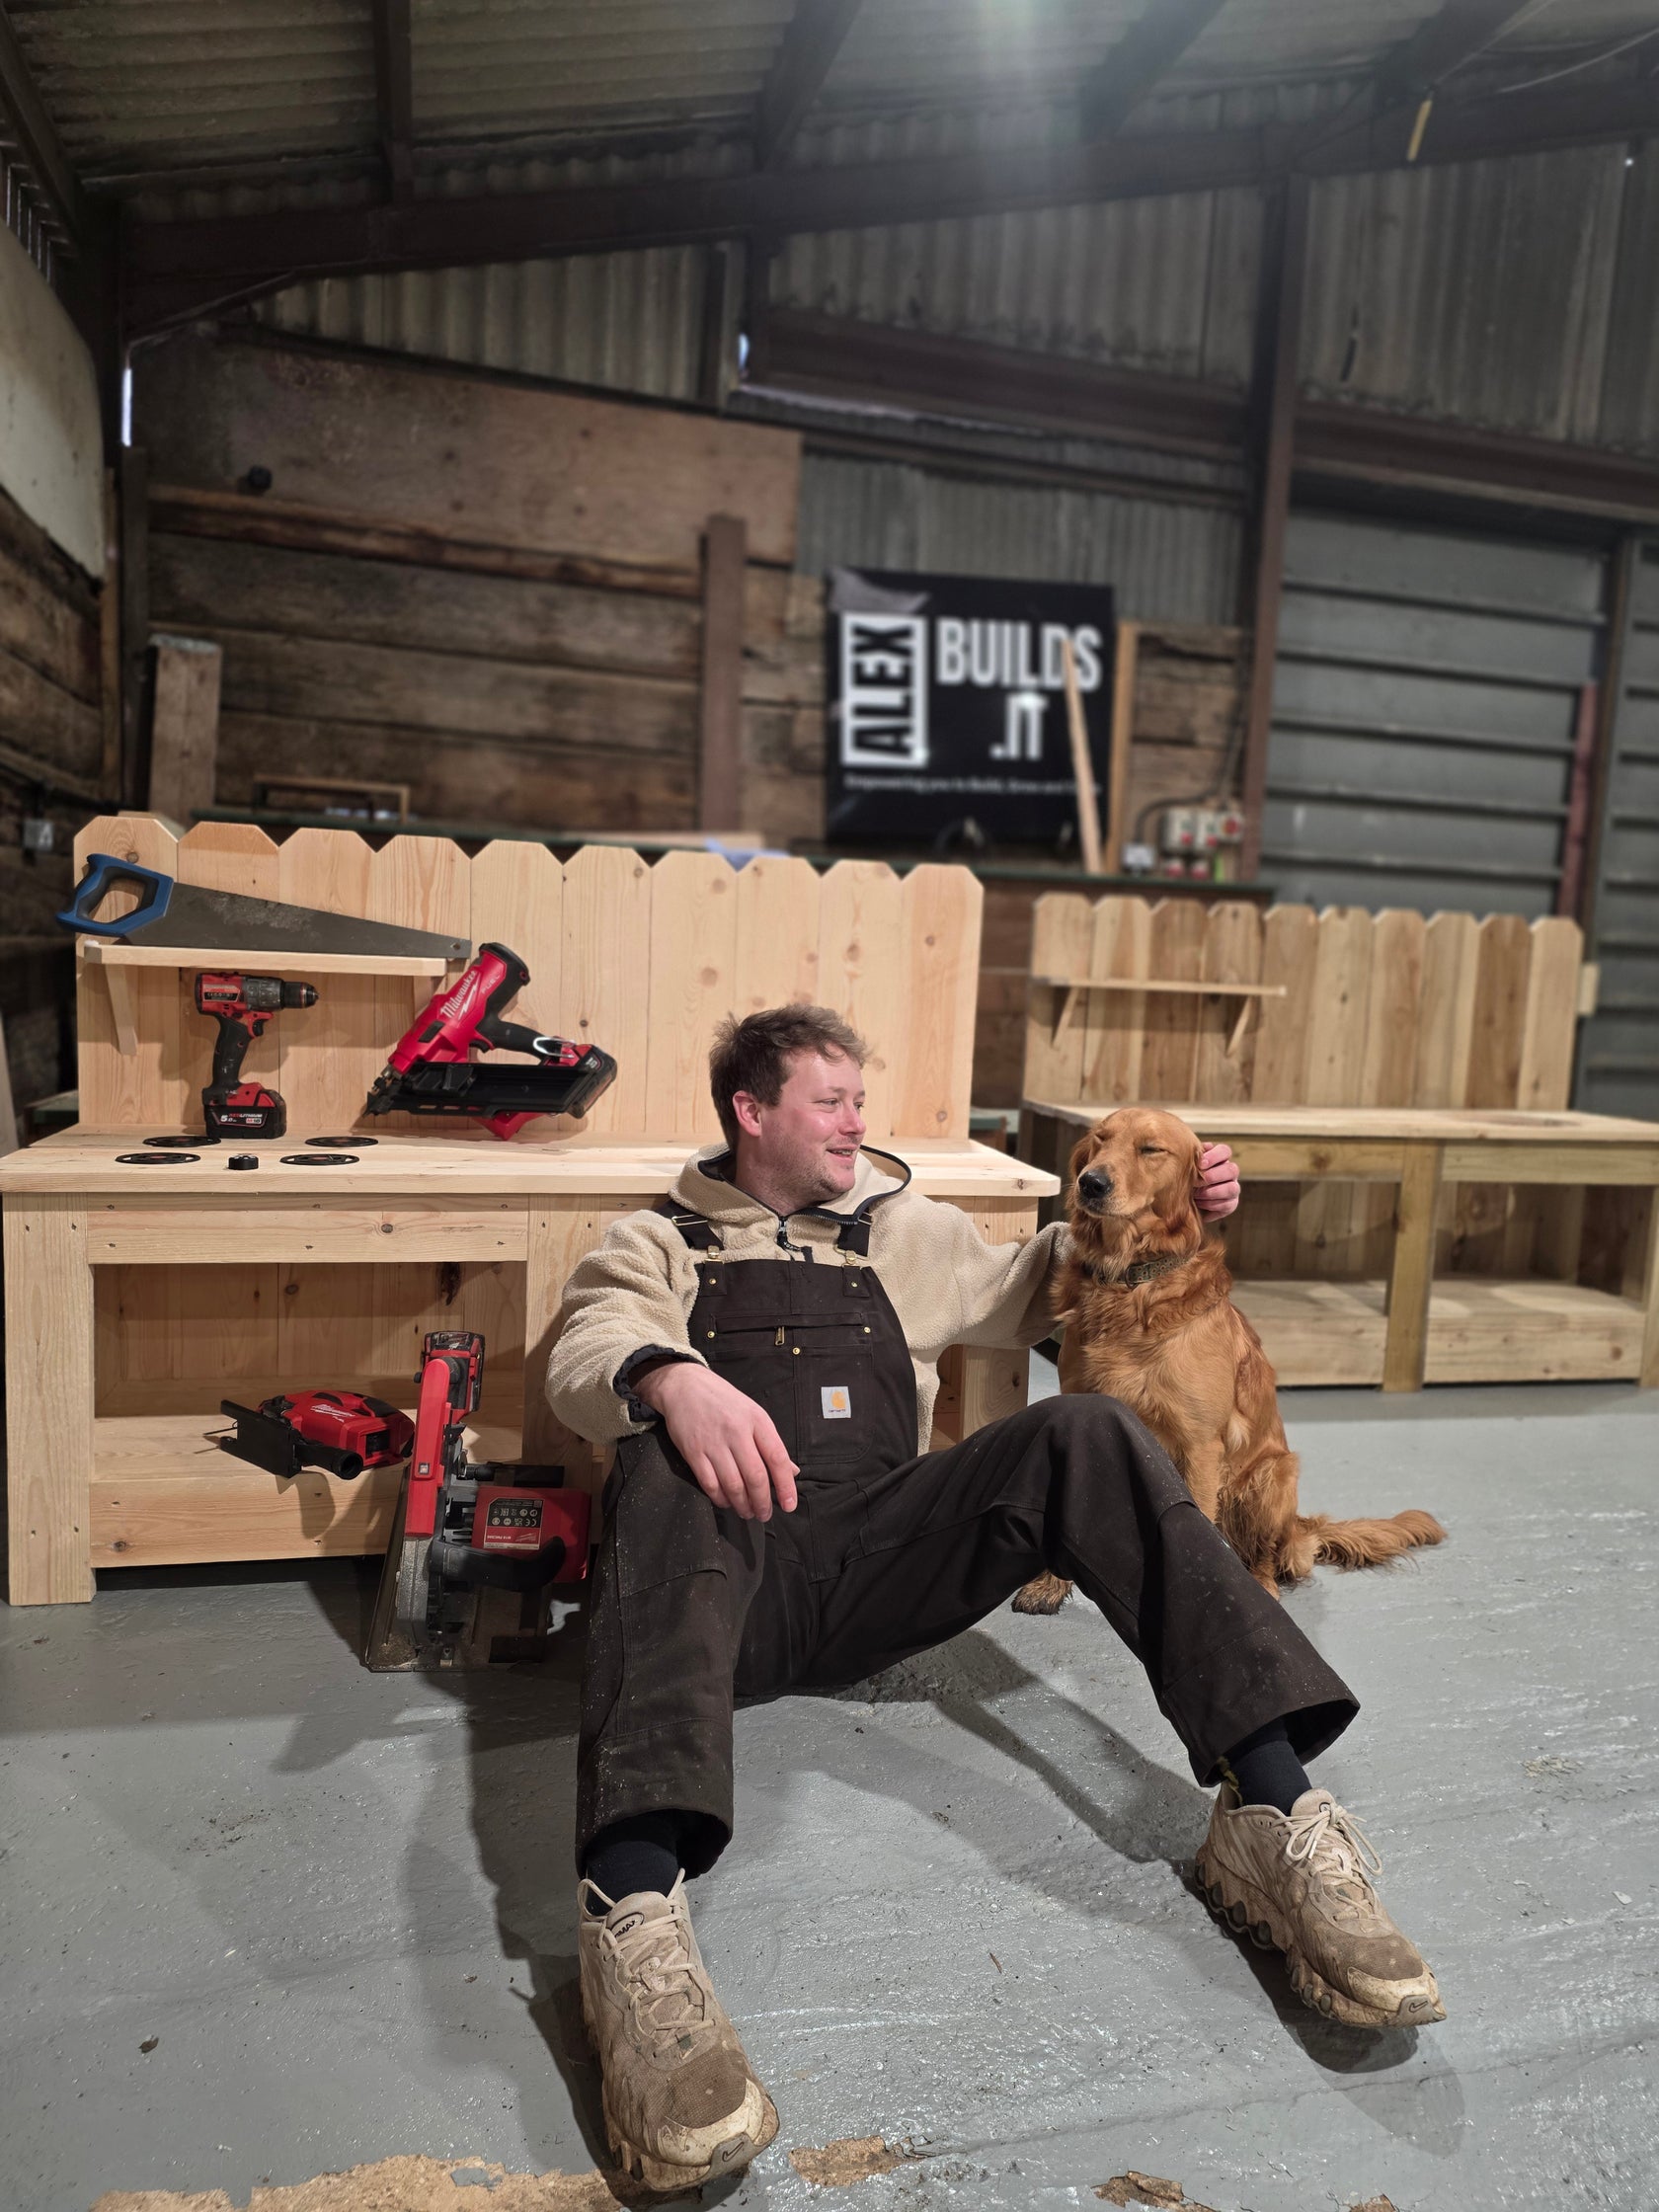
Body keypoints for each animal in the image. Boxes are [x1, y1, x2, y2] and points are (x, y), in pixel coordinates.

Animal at [1013, 1105, 1444, 1611]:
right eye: (1100, 1140)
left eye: (1151, 1149)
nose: (1091, 1182)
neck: (1133, 1282)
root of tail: (1300, 1527)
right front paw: (1049, 1584)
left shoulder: (1198, 1447)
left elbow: (1197, 1525)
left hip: (1272, 1476)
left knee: (1265, 1557)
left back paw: (1262, 1586)